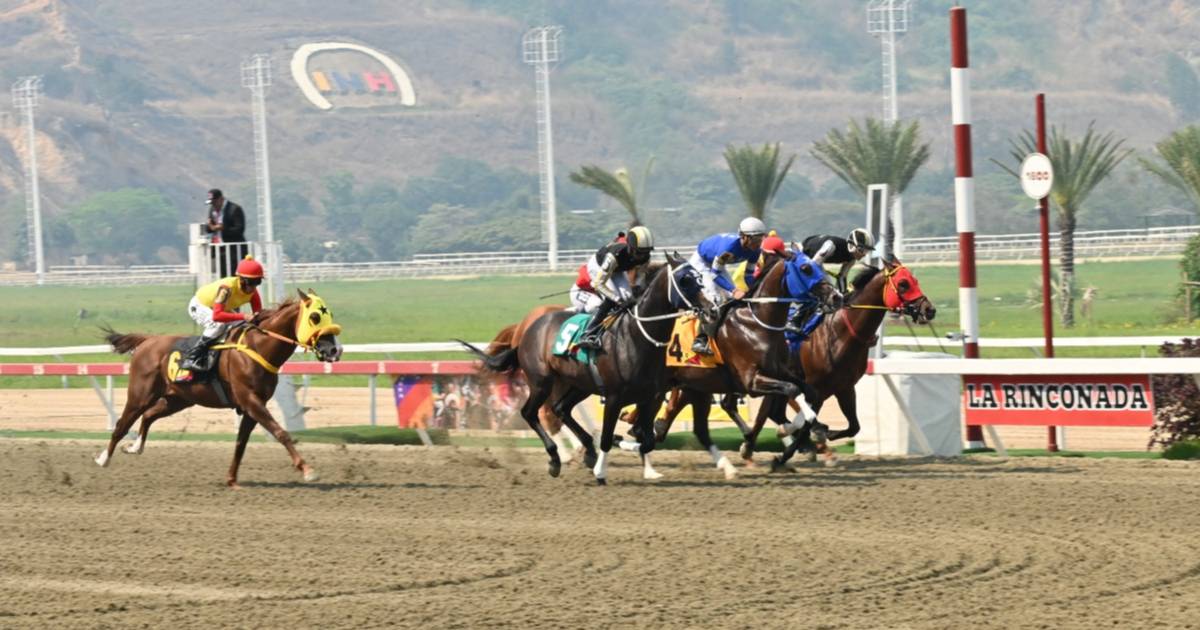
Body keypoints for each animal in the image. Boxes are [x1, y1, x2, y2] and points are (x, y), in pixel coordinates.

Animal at [97, 289, 344, 488]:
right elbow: (281, 433)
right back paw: (103, 458)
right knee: (121, 424)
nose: (335, 350)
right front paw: (308, 470)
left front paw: (232, 479)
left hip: (178, 399)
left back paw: (134, 447)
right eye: (314, 317)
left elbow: (241, 443)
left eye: (330, 315)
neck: (258, 347)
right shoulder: (250, 401)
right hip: (140, 394)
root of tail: (147, 341)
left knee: (148, 416)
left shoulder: (253, 407)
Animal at [463, 253, 704, 484]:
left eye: (699, 276)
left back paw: (586, 450)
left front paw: (634, 455)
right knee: (534, 413)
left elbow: (647, 441)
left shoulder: (649, 395)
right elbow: (611, 436)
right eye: (685, 279)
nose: (709, 306)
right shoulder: (615, 397)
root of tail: (525, 330)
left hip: (579, 384)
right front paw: (602, 469)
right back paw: (557, 458)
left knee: (561, 409)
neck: (636, 336)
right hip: (542, 382)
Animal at [621, 247, 841, 478]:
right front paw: (793, 430)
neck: (756, 323)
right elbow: (792, 390)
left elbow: (809, 393)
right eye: (806, 268)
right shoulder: (751, 381)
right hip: (660, 388)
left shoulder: (779, 371)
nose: (837, 296)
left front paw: (796, 430)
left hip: (695, 386)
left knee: (690, 428)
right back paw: (648, 466)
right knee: (644, 426)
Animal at [744, 258, 937, 467]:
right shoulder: (817, 388)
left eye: (914, 281)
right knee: (771, 413)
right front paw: (786, 454)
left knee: (774, 413)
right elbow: (808, 422)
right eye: (903, 283)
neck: (841, 333)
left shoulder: (844, 388)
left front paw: (822, 436)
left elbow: (854, 427)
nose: (929, 310)